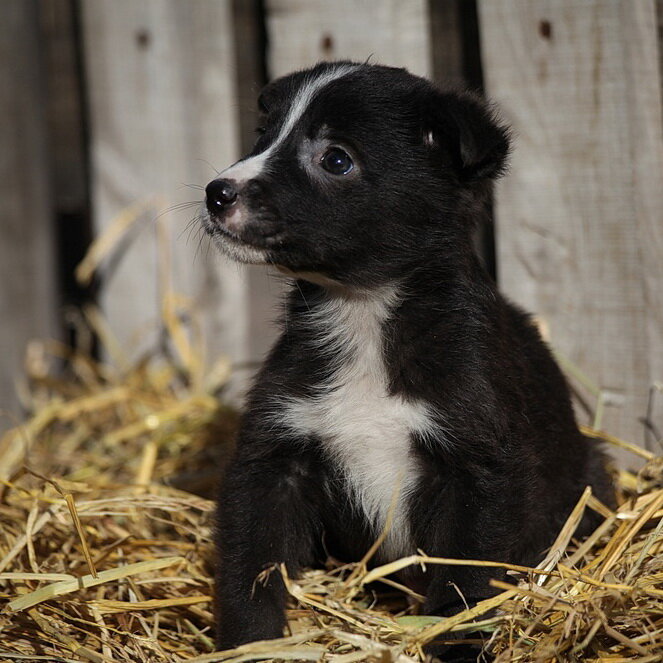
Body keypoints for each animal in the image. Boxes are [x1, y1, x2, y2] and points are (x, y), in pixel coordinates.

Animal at [204, 63, 616, 660]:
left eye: (336, 159)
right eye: (264, 134)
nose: (216, 193)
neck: (364, 315)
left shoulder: (479, 467)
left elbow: (466, 582)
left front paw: (456, 643)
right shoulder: (274, 457)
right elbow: (250, 565)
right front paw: (248, 644)